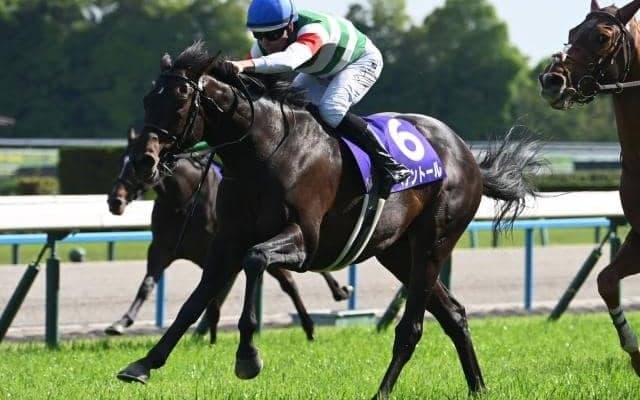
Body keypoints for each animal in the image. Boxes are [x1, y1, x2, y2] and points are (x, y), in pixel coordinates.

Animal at [106, 128, 353, 342]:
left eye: (137, 163)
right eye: (123, 160)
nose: (115, 201)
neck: (182, 202)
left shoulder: (214, 252)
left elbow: (214, 297)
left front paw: (210, 337)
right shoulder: (161, 249)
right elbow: (147, 285)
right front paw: (121, 322)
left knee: (290, 282)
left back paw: (319, 315)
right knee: (289, 279)